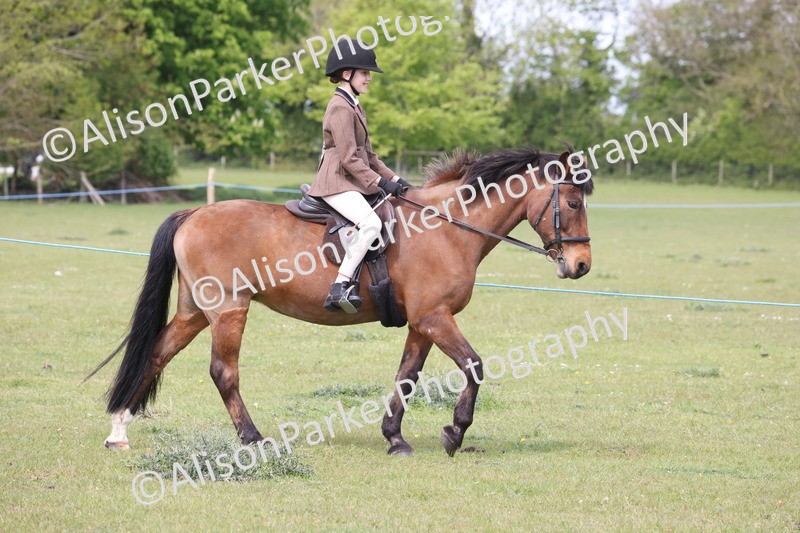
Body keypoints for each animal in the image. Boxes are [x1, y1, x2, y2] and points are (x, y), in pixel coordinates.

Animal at [88, 147, 594, 457]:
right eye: (572, 202)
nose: (582, 264)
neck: (446, 226)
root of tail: (194, 212)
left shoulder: (422, 323)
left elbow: (406, 377)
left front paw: (395, 438)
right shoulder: (435, 317)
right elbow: (473, 365)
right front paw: (454, 432)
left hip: (195, 311)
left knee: (156, 354)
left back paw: (118, 433)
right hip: (230, 311)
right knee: (223, 372)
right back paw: (253, 438)